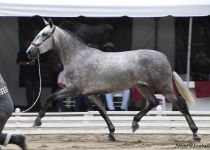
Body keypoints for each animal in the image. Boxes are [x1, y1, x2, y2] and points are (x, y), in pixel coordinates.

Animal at [25, 19, 200, 141]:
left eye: (44, 34)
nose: (29, 52)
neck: (78, 57)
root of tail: (165, 59)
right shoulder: (91, 94)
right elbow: (103, 112)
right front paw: (112, 133)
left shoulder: (74, 89)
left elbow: (50, 97)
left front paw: (37, 122)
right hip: (143, 87)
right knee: (153, 102)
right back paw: (134, 124)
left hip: (164, 87)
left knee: (181, 104)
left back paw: (196, 133)